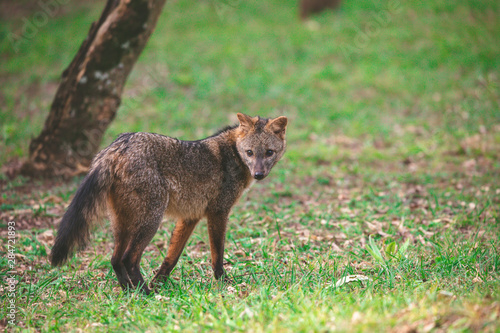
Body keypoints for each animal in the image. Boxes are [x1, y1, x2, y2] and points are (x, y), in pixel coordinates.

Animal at [50, 113, 288, 294]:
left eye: (269, 153)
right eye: (250, 153)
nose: (258, 174)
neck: (232, 153)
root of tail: (119, 144)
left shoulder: (190, 217)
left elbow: (171, 258)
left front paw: (159, 282)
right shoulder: (218, 213)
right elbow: (217, 255)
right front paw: (223, 282)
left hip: (123, 223)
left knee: (115, 259)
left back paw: (130, 291)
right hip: (151, 220)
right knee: (128, 259)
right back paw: (144, 293)